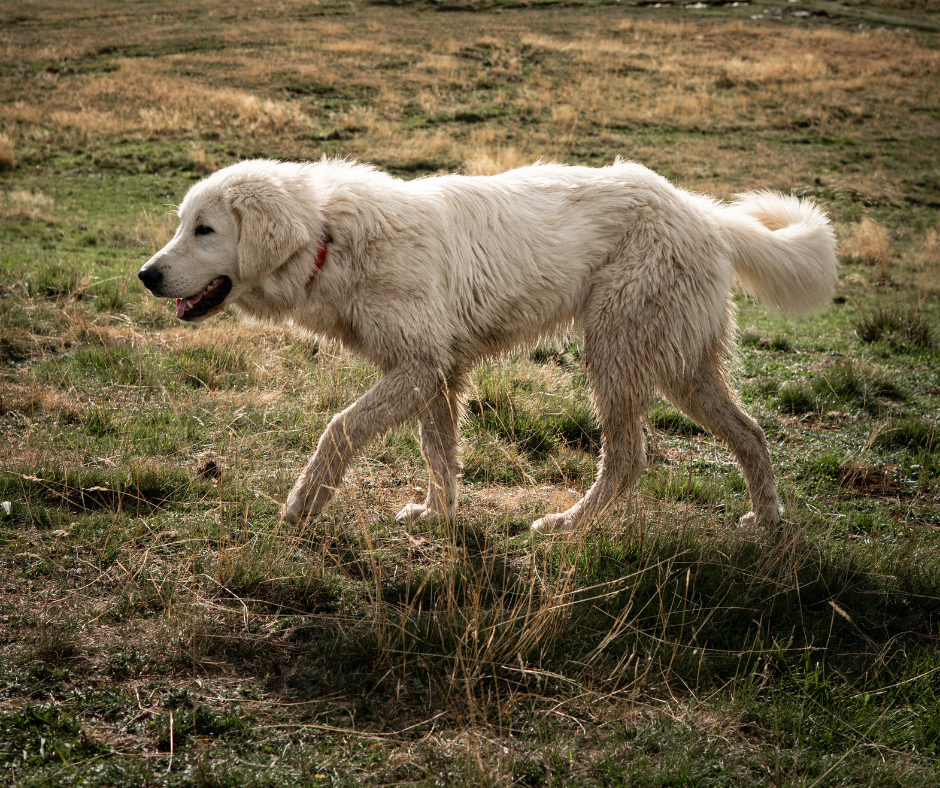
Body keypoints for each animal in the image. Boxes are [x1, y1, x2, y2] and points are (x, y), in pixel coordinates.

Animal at [140, 157, 836, 532]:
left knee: (627, 459)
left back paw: (569, 526)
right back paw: (767, 522)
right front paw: (438, 516)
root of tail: (702, 211)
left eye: (205, 230)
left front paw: (300, 508)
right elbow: (438, 452)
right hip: (683, 368)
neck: (328, 238)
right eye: (181, 224)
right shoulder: (437, 374)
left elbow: (339, 429)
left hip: (618, 356)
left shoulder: (418, 369)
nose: (146, 275)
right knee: (751, 434)